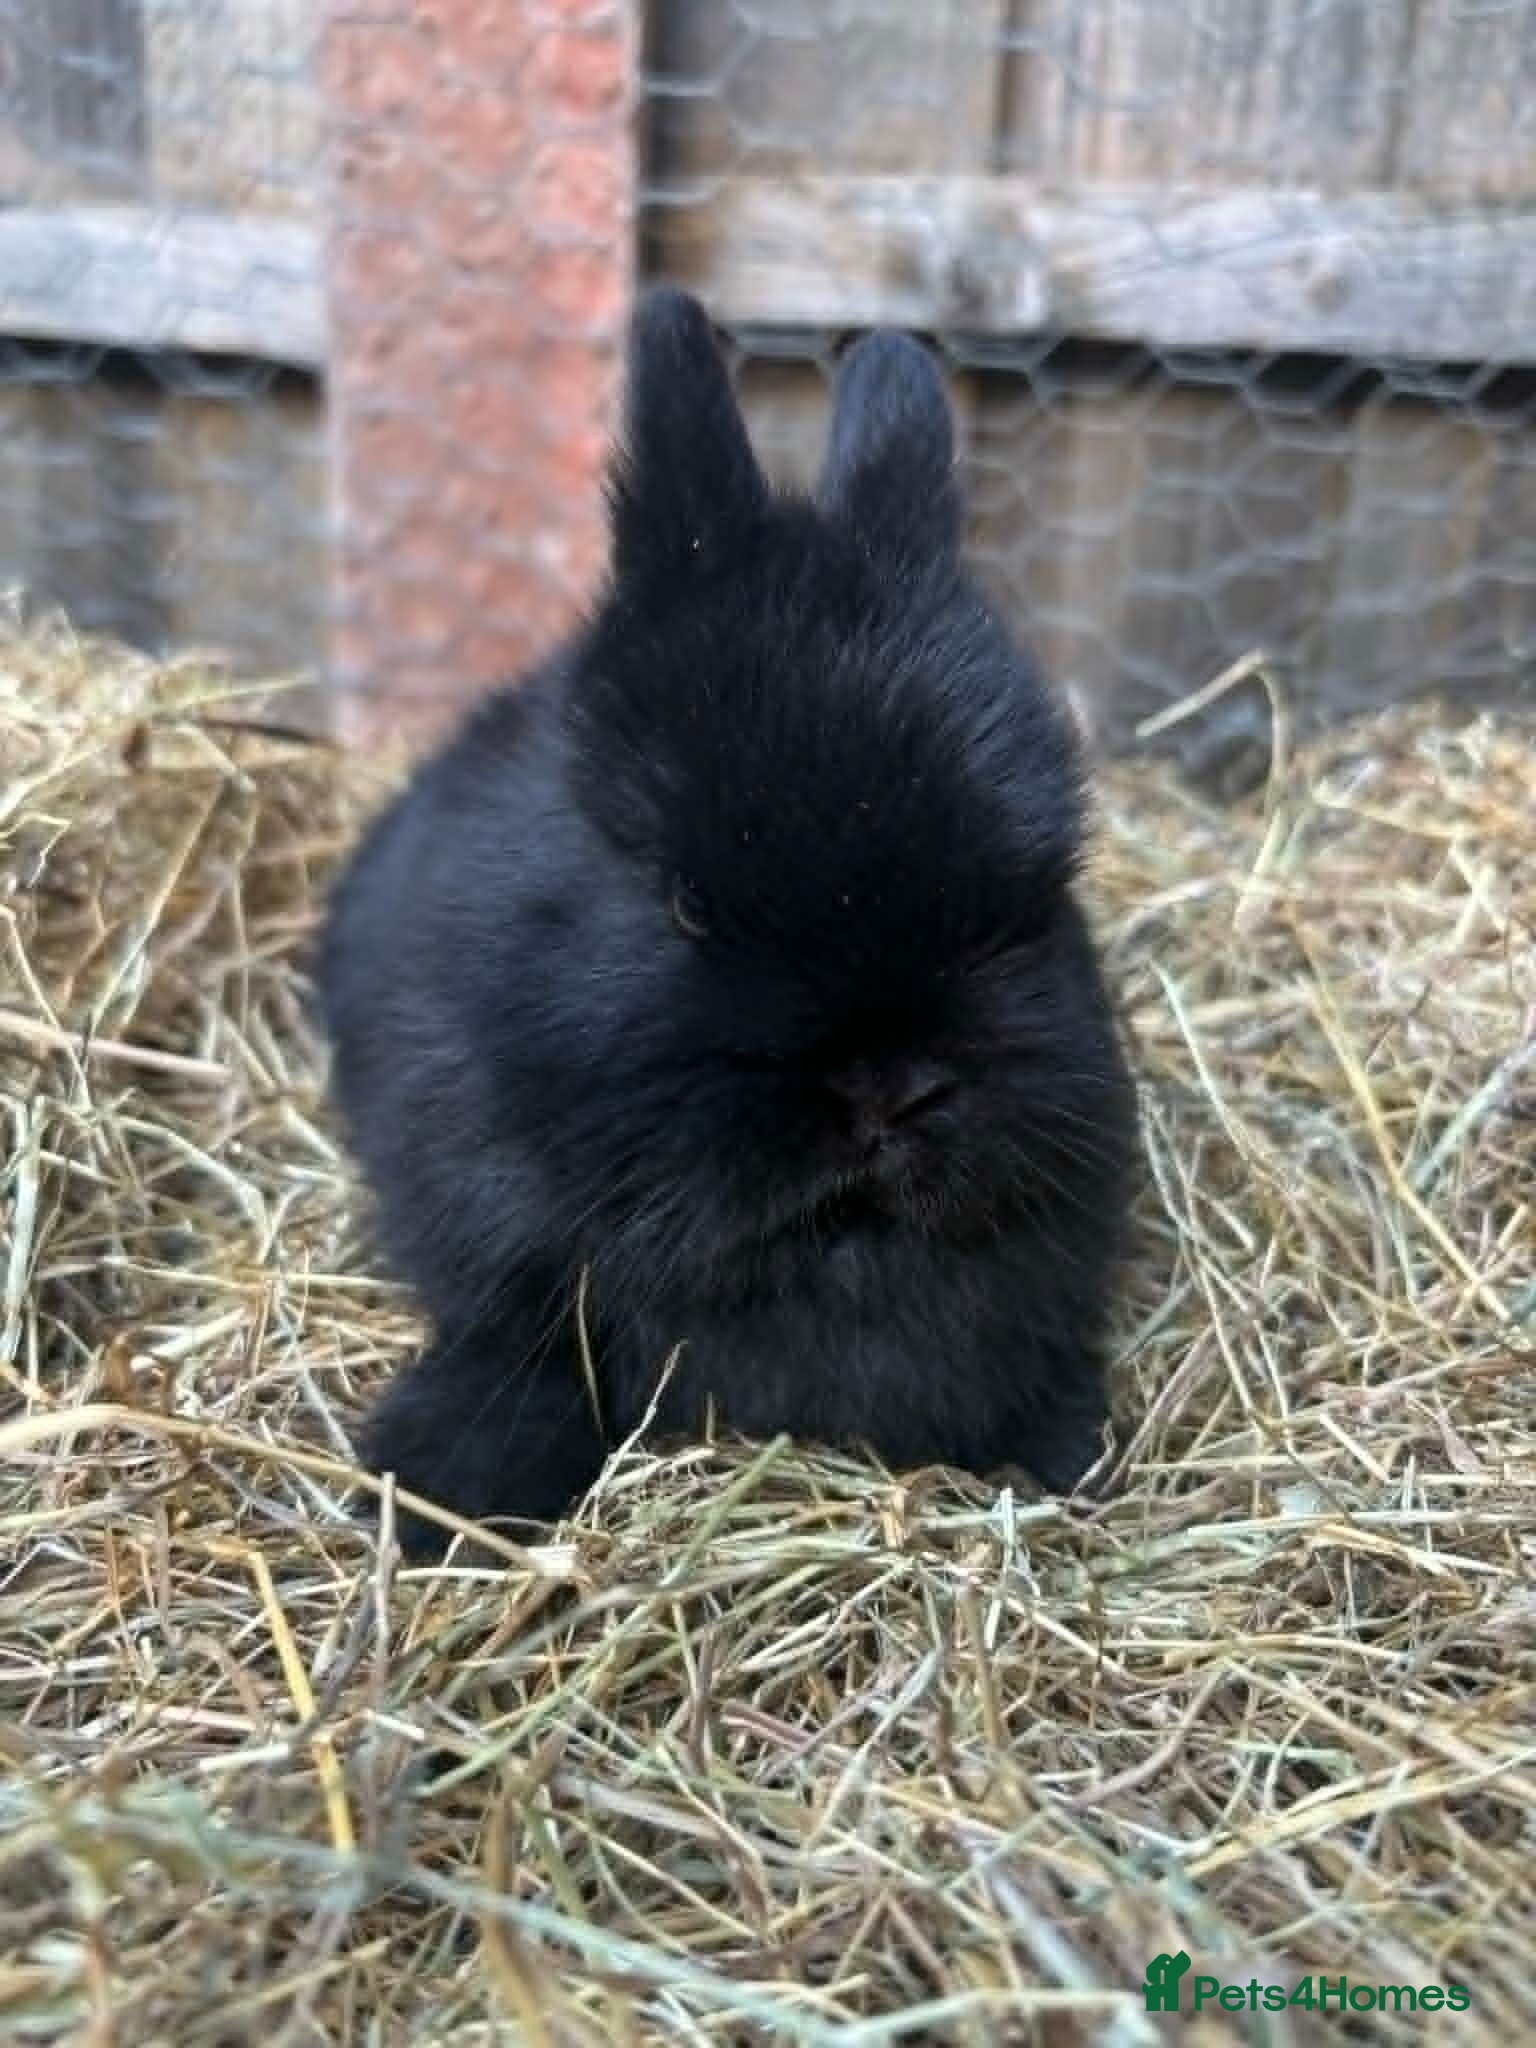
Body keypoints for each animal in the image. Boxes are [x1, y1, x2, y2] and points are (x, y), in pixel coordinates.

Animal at [318, 286, 1137, 1558]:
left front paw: (1066, 1451)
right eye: (685, 900)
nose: (885, 1086)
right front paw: (430, 1489)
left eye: (1020, 910)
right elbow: (523, 1357)